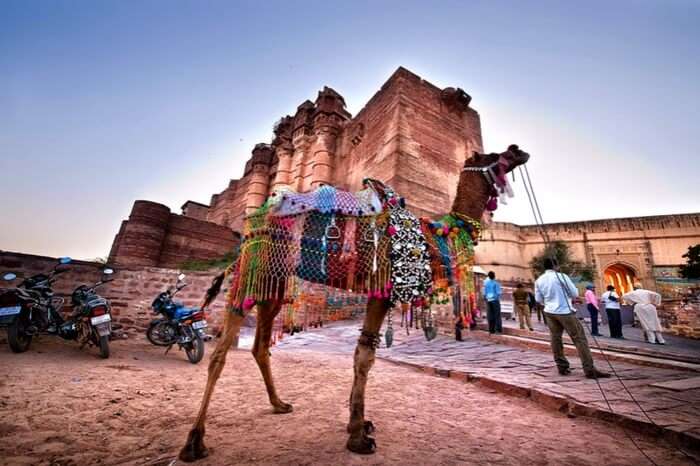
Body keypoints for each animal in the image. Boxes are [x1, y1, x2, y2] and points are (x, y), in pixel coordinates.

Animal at [178, 144, 528, 460]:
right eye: (495, 156)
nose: (519, 150)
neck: (435, 235)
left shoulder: (376, 292)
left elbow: (363, 352)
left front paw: (357, 424)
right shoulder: (384, 289)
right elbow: (365, 357)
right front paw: (358, 435)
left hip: (272, 285)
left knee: (260, 345)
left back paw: (279, 404)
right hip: (252, 271)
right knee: (220, 353)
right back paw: (194, 442)